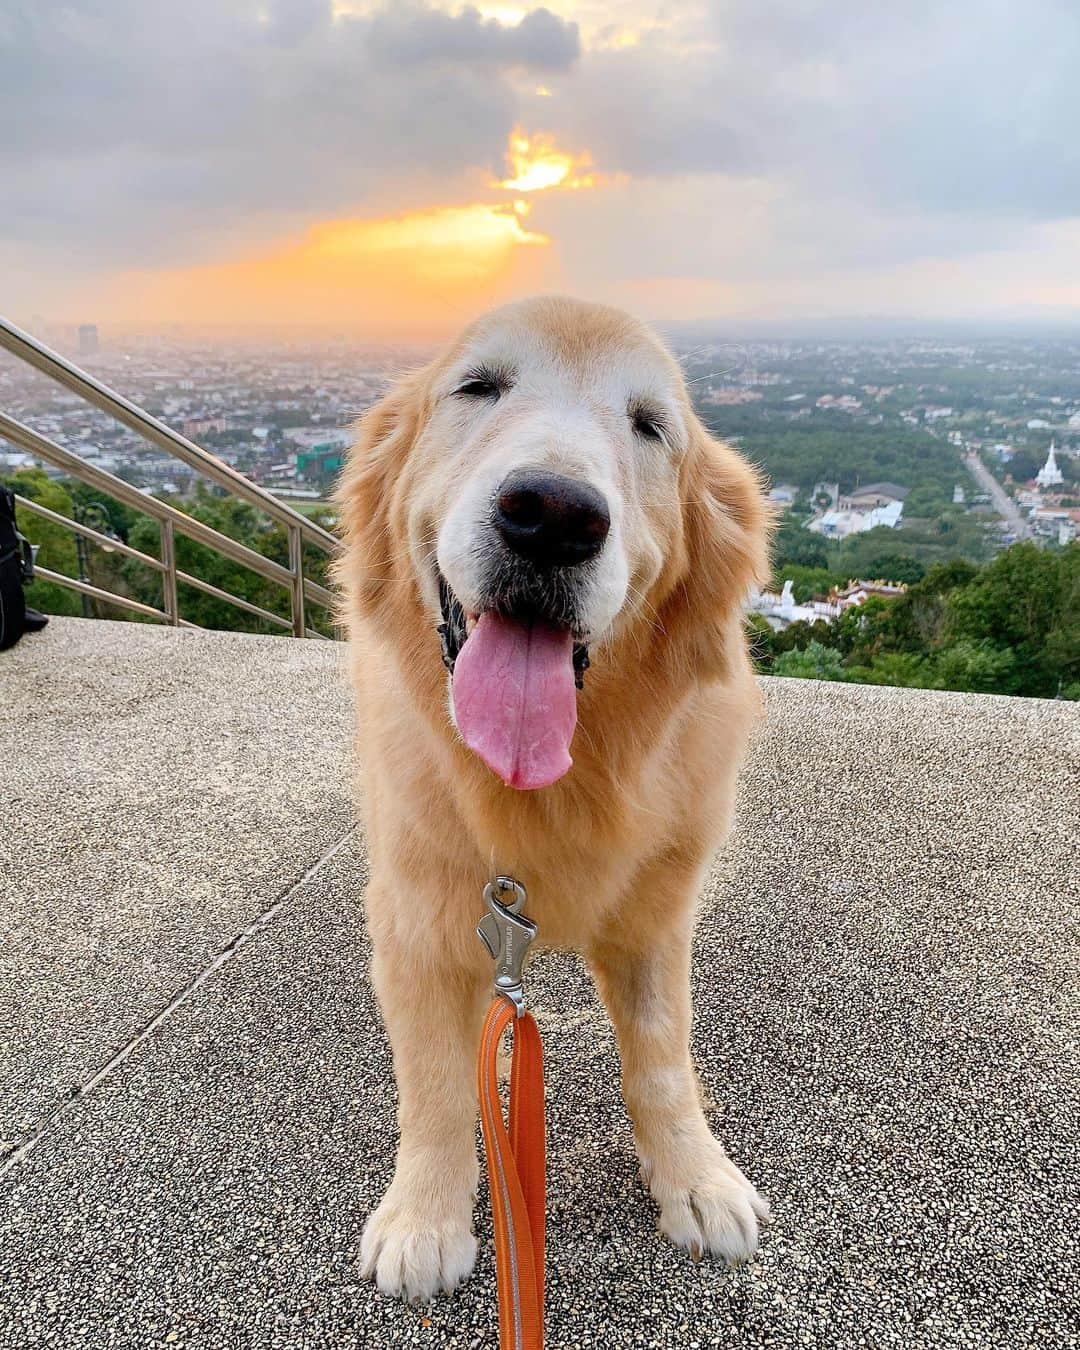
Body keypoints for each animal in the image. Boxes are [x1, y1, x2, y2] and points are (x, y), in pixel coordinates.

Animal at [333, 292, 772, 1296]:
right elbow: (437, 1085)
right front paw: (425, 1219)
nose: (554, 516)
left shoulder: (656, 916)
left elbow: (662, 1059)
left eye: (650, 426)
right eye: (477, 386)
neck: (557, 781)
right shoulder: (421, 920)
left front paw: (695, 1178)